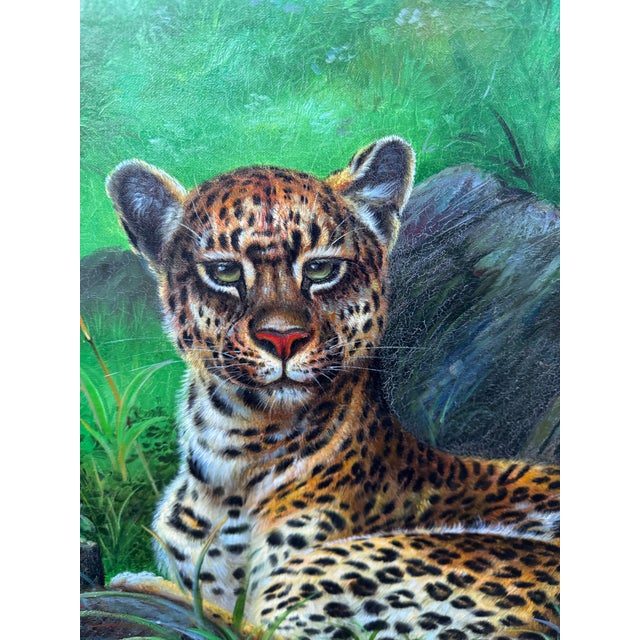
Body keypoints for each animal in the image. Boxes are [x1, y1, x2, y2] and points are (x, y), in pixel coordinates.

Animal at [105, 136, 559, 640]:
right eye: (224, 273)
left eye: (321, 269)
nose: (283, 338)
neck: (231, 458)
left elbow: (238, 617)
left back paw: (136, 581)